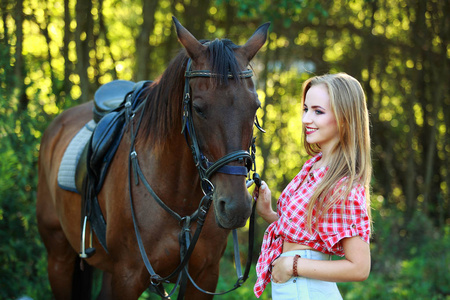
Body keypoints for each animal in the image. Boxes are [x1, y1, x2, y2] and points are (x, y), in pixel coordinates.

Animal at [37, 17, 268, 298]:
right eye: (199, 108)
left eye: (255, 106)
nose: (235, 208)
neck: (180, 200)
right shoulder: (128, 277)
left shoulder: (205, 276)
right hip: (58, 257)